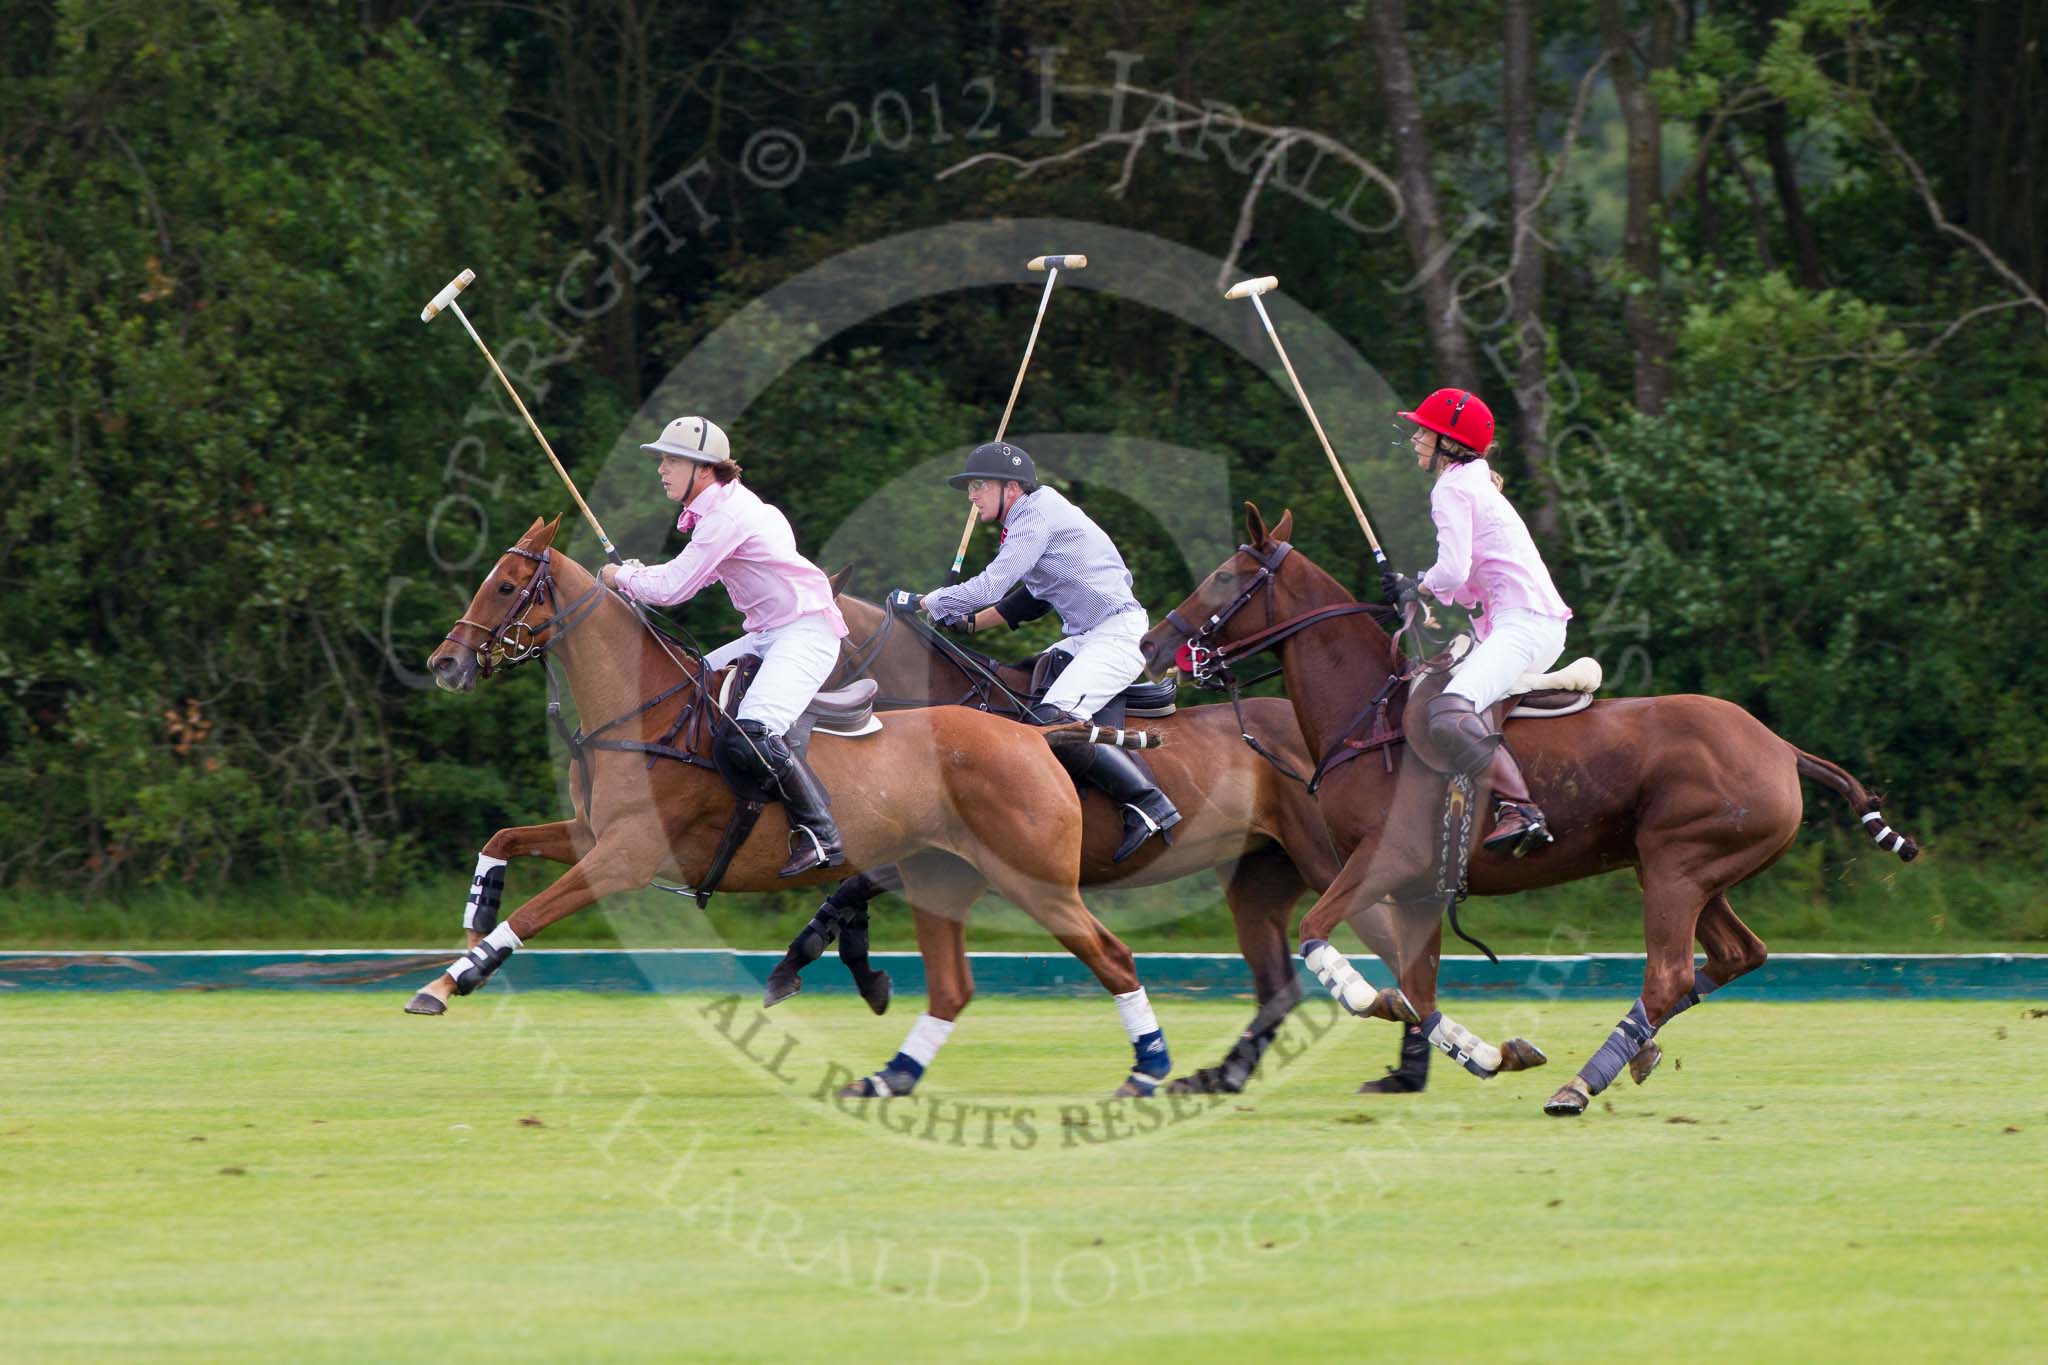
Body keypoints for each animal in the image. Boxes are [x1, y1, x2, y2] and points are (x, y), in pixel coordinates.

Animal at [413, 515, 1179, 1096]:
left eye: (506, 586)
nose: (443, 664)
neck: (645, 713)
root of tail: (1033, 732)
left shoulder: (624, 856)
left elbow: (532, 913)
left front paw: (450, 979)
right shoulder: (590, 832)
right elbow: (504, 838)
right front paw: (474, 910)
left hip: (1036, 876)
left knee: (1112, 955)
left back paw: (1148, 1070)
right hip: (942, 877)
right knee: (953, 987)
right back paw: (890, 1077)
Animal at [798, 581, 1425, 1096]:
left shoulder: (969, 857)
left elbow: (856, 885)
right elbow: (848, 890)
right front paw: (851, 976)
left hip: (1329, 863)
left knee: (1395, 947)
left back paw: (1411, 1066)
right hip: (1260, 876)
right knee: (1280, 985)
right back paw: (1222, 1075)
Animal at [1138, 507, 1916, 1113]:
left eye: (1226, 576)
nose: (1151, 642)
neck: (1370, 716)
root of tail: (1781, 747)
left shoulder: (1386, 860)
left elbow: (1321, 938)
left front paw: (1374, 1001)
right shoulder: (1419, 888)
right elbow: (1421, 991)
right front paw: (1493, 1053)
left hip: (1678, 865)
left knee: (1670, 973)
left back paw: (1583, 1083)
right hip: (1686, 868)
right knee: (1736, 953)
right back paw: (1636, 1053)